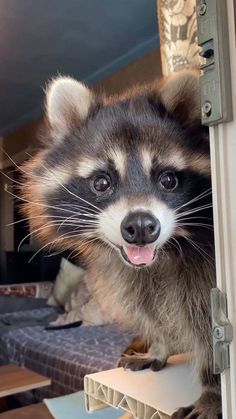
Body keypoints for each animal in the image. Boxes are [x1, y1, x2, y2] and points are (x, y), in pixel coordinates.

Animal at [21, 70, 220, 418]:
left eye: (168, 179)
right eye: (102, 182)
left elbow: (208, 328)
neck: (164, 254)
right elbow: (152, 309)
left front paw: (213, 389)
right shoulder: (131, 277)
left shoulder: (203, 273)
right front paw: (160, 345)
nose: (141, 227)